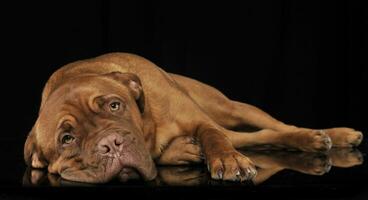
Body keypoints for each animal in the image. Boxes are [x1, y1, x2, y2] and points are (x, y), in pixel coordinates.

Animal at [24, 52, 364, 183]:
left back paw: (327, 136)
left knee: (273, 128)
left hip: (229, 108)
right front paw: (184, 151)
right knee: (259, 138)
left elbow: (213, 136)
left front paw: (229, 160)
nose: (112, 143)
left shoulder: (202, 122)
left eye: (115, 106)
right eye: (67, 139)